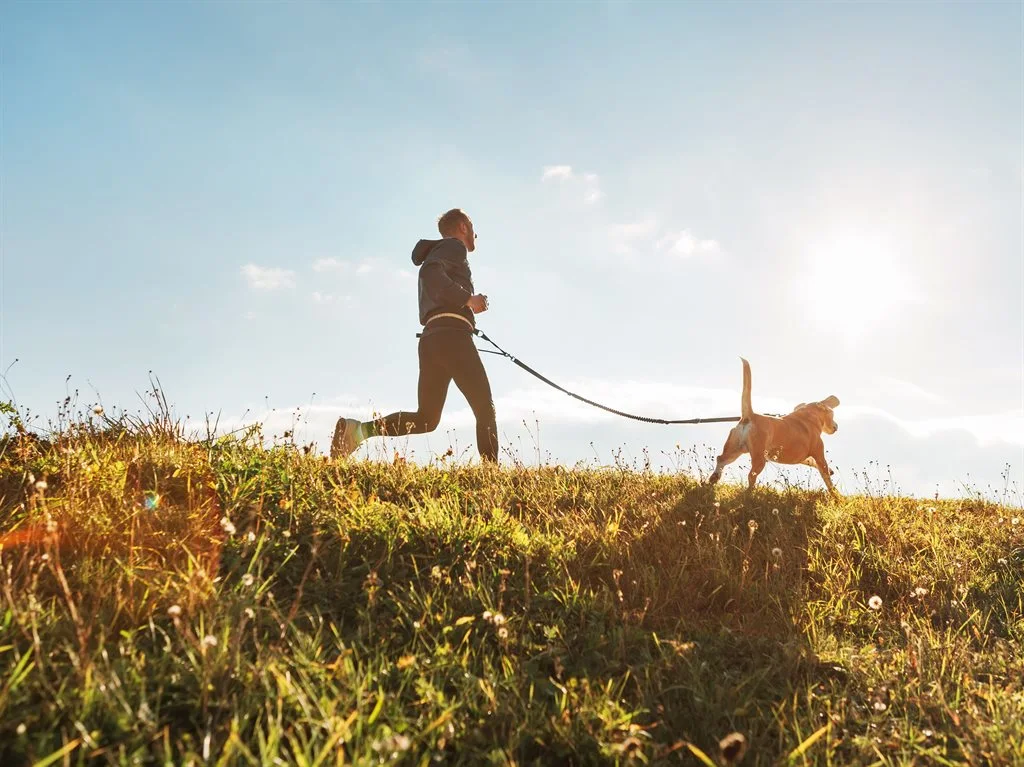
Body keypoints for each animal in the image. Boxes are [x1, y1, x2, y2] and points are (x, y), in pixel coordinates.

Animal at [712, 358, 839, 493]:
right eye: (832, 414)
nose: (836, 426)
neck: (808, 416)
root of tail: (750, 415)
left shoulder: (804, 457)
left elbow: (812, 462)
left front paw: (831, 471)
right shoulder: (819, 455)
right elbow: (827, 478)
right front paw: (835, 494)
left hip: (735, 449)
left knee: (720, 459)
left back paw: (713, 479)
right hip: (759, 458)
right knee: (751, 475)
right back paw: (749, 493)